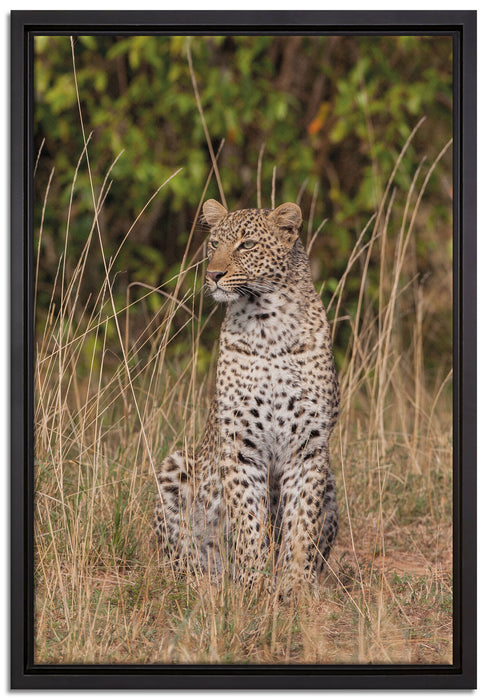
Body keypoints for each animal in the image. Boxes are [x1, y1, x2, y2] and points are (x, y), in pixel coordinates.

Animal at [153, 199, 340, 587]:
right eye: (214, 244)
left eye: (247, 245)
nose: (213, 274)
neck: (268, 325)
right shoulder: (240, 445)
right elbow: (247, 519)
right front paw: (254, 583)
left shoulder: (309, 446)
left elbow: (302, 523)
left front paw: (295, 587)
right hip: (175, 466)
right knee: (180, 556)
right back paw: (204, 581)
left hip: (330, 480)